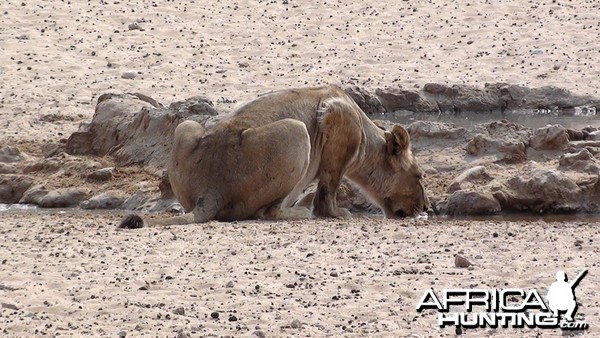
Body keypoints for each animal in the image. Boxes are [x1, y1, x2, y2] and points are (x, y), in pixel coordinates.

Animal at [118, 84, 426, 228]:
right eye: (419, 176)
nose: (425, 208)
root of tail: (210, 190)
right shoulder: (337, 123)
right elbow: (326, 197)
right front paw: (337, 212)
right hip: (297, 131)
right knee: (267, 212)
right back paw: (299, 212)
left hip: (187, 127)